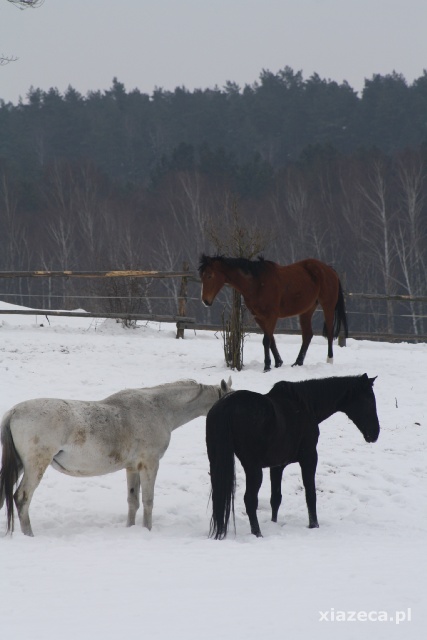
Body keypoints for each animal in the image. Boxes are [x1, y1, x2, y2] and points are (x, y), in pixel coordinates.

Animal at [0, 377, 233, 536]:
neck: (159, 409)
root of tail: (14, 412)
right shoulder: (150, 464)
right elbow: (148, 501)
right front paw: (148, 530)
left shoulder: (132, 467)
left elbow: (133, 501)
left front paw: (131, 528)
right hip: (35, 466)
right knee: (22, 498)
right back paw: (29, 535)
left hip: (20, 466)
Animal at [199, 255, 348, 371]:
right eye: (202, 276)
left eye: (210, 276)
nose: (205, 301)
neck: (257, 283)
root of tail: (329, 269)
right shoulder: (259, 317)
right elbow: (271, 339)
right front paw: (278, 363)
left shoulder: (271, 316)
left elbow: (266, 340)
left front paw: (267, 366)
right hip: (306, 310)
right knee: (307, 335)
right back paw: (297, 363)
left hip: (328, 306)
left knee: (329, 333)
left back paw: (329, 360)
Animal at [206, 374, 379, 539]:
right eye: (369, 400)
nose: (375, 433)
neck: (305, 406)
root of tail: (227, 405)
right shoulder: (309, 457)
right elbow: (310, 494)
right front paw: (314, 525)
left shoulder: (277, 466)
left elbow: (276, 498)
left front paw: (274, 523)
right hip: (253, 468)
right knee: (250, 500)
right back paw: (257, 533)